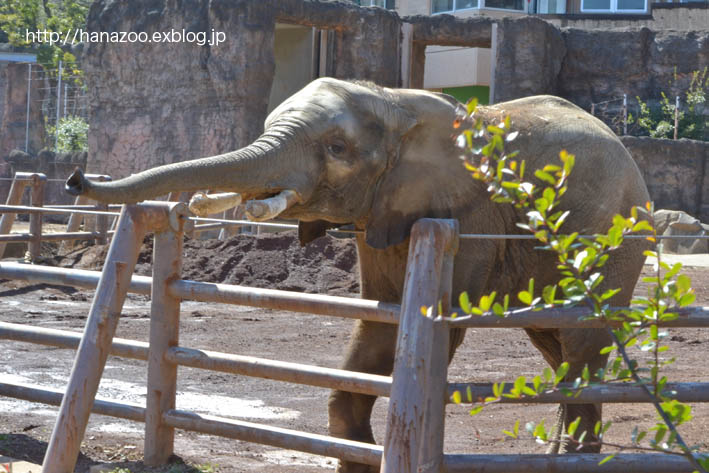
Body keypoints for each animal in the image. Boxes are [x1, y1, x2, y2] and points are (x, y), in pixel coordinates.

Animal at [66, 78, 648, 472]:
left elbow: (431, 328)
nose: (75, 176)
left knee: (580, 340)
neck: (393, 98)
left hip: (616, 239)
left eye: (337, 149)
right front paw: (358, 451)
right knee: (557, 343)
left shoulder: (468, 213)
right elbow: (378, 328)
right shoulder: (383, 213)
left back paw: (571, 456)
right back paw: (564, 453)